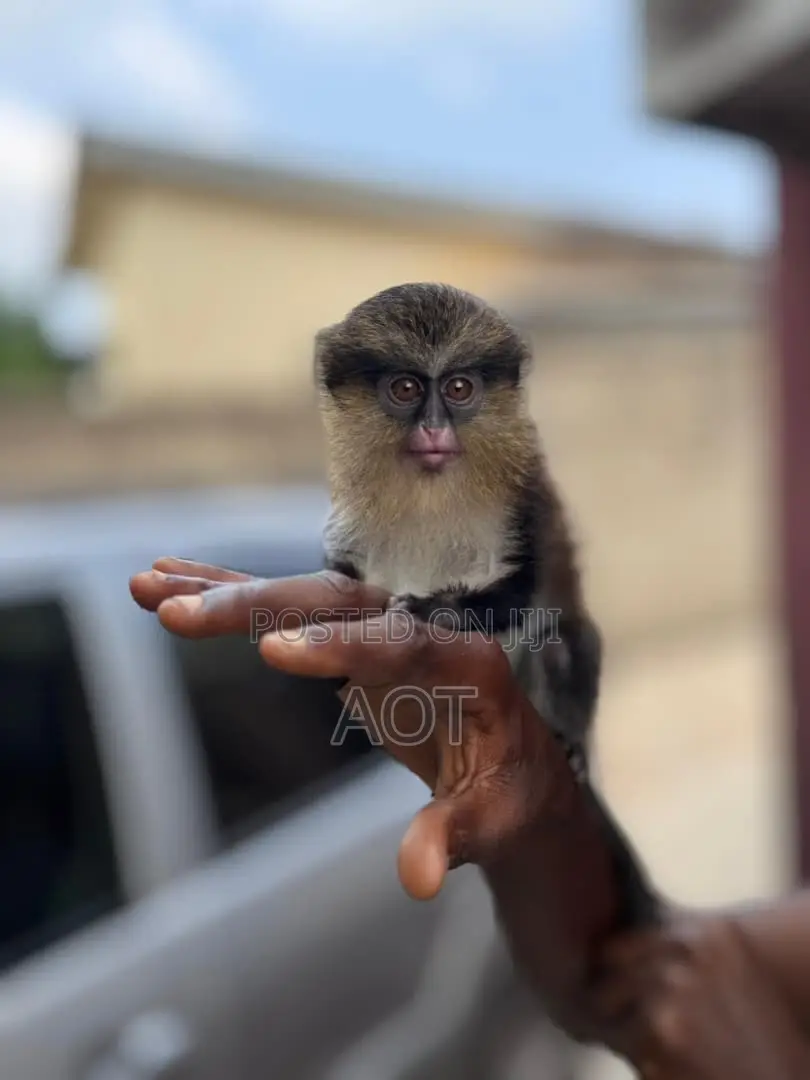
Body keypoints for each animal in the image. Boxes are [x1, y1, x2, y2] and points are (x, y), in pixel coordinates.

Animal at [314, 282, 660, 927]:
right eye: (405, 389)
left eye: (458, 388)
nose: (433, 430)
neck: (430, 494)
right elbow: (344, 574)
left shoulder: (522, 499)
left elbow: (520, 593)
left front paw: (427, 610)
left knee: (558, 642)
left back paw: (569, 743)